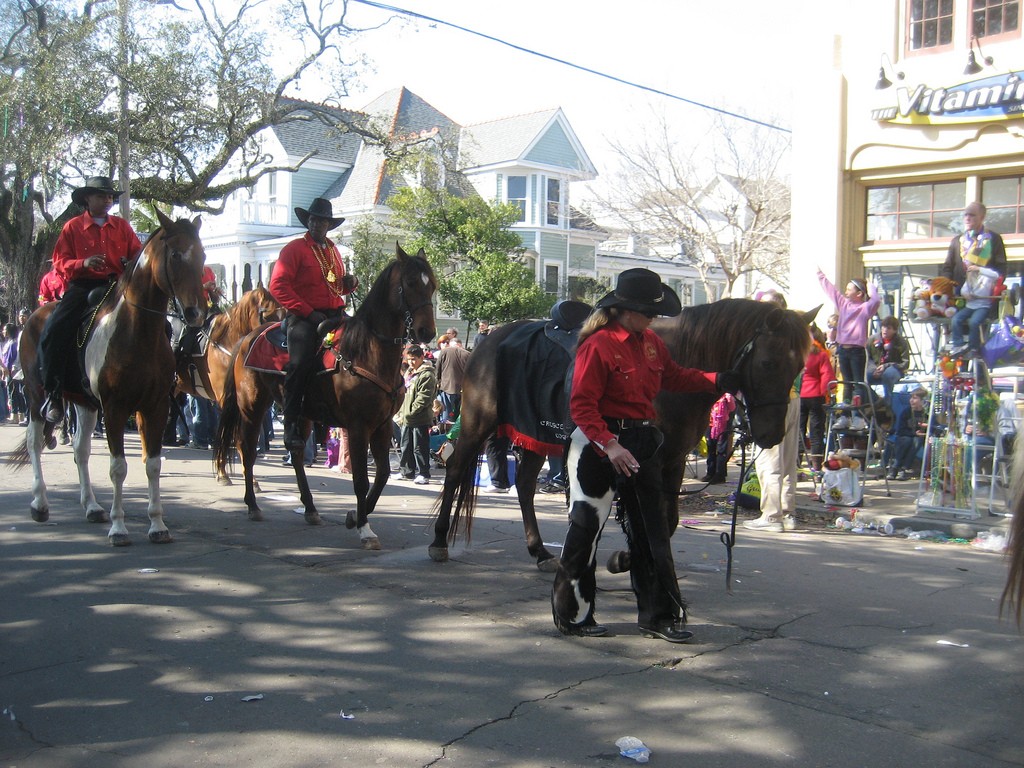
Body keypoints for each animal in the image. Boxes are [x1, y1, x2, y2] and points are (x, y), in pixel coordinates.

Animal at [10, 210, 207, 548]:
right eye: (176, 255)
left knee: (80, 450)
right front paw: (119, 528)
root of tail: (35, 315)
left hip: (85, 404)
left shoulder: (155, 407)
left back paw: (91, 506)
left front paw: (157, 524)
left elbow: (152, 464)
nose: (196, 313)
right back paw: (40, 503)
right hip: (37, 397)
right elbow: (118, 467)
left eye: (203, 255)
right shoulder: (115, 408)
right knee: (35, 442)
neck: (138, 332)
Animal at [214, 244, 438, 548]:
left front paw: (355, 516)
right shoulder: (358, 427)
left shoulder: (381, 426)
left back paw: (310, 508)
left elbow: (381, 475)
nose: (427, 332)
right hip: (252, 405)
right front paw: (364, 527)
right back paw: (252, 504)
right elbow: (361, 480)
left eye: (433, 286)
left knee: (297, 455)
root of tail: (249, 336)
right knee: (246, 449)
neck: (367, 352)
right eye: (411, 283)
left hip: (302, 415)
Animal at [430, 296, 815, 569]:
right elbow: (653, 520)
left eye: (800, 366)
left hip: (535, 434)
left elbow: (669, 520)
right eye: (768, 363)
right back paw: (438, 542)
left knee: (524, 486)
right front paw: (628, 559)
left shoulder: (674, 460)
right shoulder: (648, 462)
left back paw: (539, 551)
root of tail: (487, 340)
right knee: (455, 471)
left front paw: (630, 559)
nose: (771, 435)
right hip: (478, 423)